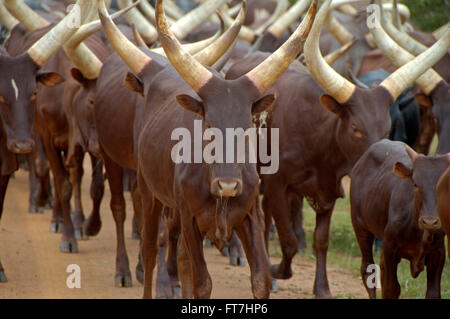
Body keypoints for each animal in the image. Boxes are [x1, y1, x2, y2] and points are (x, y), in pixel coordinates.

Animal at [350, 141, 448, 300]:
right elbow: (392, 288)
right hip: (360, 227)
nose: (429, 221)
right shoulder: (390, 248)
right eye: (415, 184)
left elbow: (433, 292)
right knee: (367, 270)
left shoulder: (438, 253)